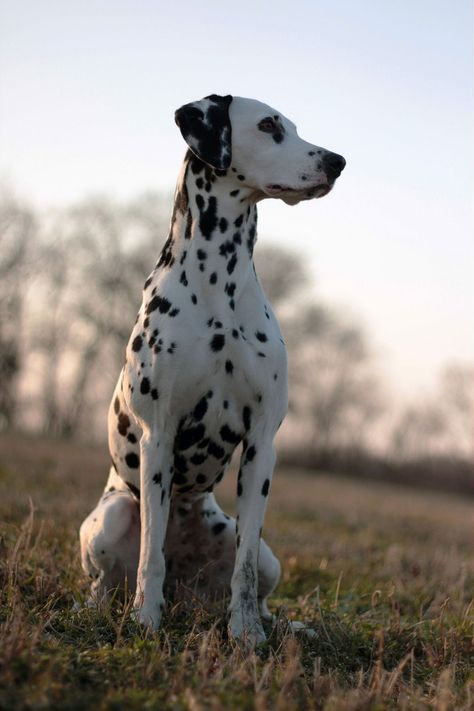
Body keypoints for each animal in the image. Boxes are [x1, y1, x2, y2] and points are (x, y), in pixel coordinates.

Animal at [79, 94, 342, 644]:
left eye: (293, 127)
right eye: (268, 125)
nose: (337, 161)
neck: (219, 281)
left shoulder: (263, 444)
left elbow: (243, 572)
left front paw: (246, 634)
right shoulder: (159, 436)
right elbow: (150, 557)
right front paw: (146, 621)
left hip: (267, 556)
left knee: (256, 575)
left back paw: (284, 626)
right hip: (112, 517)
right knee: (108, 580)